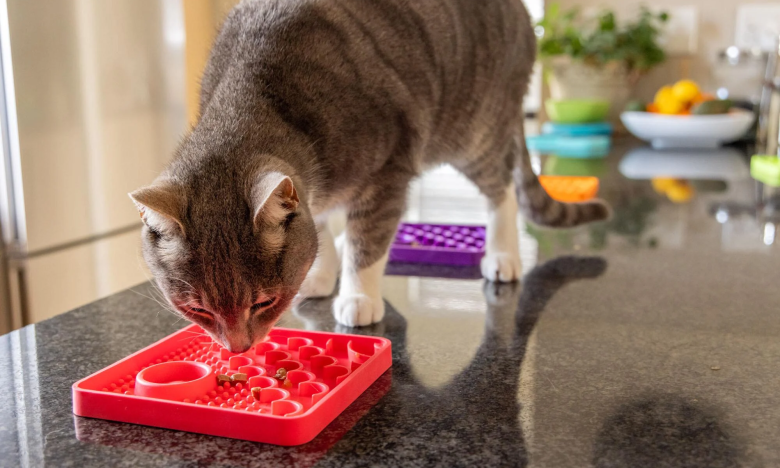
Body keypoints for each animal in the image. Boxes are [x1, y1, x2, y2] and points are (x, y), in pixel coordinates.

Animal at [131, 0, 612, 352]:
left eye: (264, 302)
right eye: (198, 311)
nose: (238, 349)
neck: (260, 97)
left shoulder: (387, 172)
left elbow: (369, 242)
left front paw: (357, 297)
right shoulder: (315, 192)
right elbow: (321, 226)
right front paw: (322, 271)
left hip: (474, 131)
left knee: (502, 188)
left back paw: (503, 255)